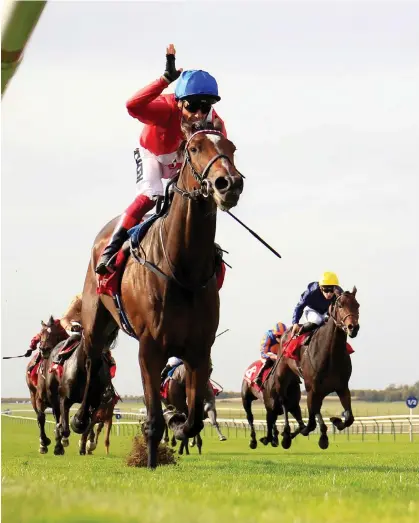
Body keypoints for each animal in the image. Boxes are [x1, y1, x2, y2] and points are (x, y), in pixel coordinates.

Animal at [70, 121, 244, 468]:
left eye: (231, 148)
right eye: (195, 148)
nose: (229, 183)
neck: (183, 270)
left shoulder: (199, 349)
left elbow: (193, 419)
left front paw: (178, 425)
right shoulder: (150, 346)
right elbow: (153, 419)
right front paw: (150, 461)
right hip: (96, 320)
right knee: (91, 359)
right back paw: (81, 418)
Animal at [276, 286, 360, 450]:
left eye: (357, 305)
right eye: (340, 305)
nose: (353, 327)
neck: (330, 354)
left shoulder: (342, 387)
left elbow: (349, 418)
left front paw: (336, 421)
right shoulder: (311, 388)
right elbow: (310, 423)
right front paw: (302, 431)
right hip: (283, 376)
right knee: (284, 401)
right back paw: (287, 435)